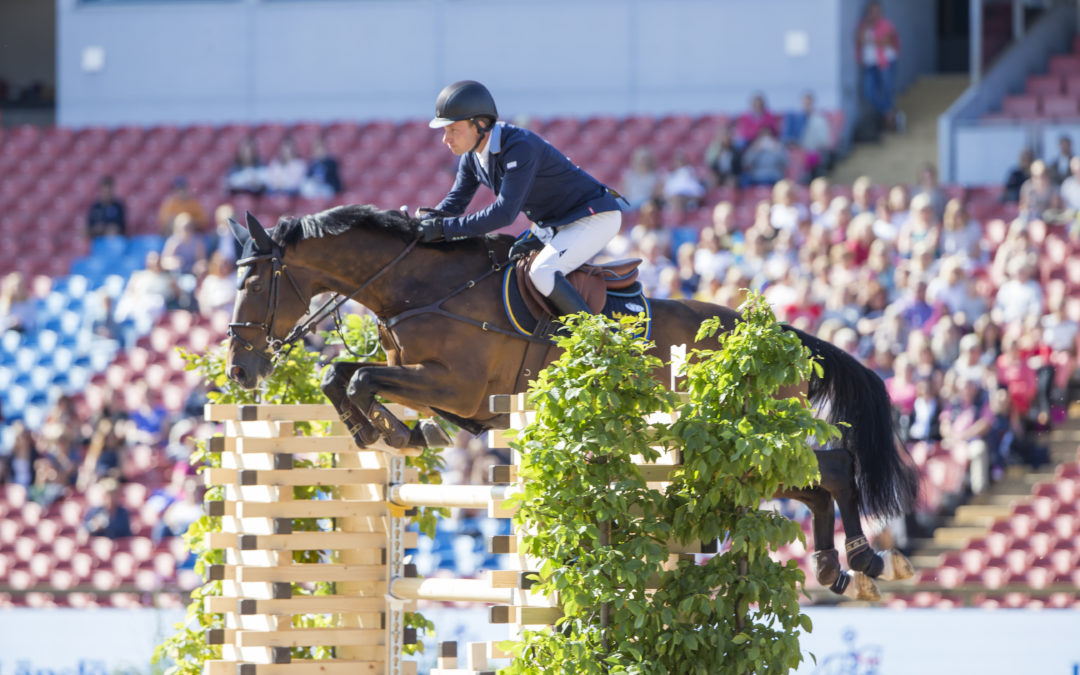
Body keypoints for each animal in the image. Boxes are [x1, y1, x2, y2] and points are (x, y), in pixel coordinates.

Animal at [223, 205, 915, 600]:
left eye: (254, 283)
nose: (240, 369)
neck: (421, 285)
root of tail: (780, 338)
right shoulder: (441, 388)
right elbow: (341, 376)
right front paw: (397, 434)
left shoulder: (456, 384)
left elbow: (358, 379)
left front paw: (393, 433)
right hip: (732, 456)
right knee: (812, 486)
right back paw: (829, 566)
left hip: (747, 437)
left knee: (833, 468)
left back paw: (865, 555)